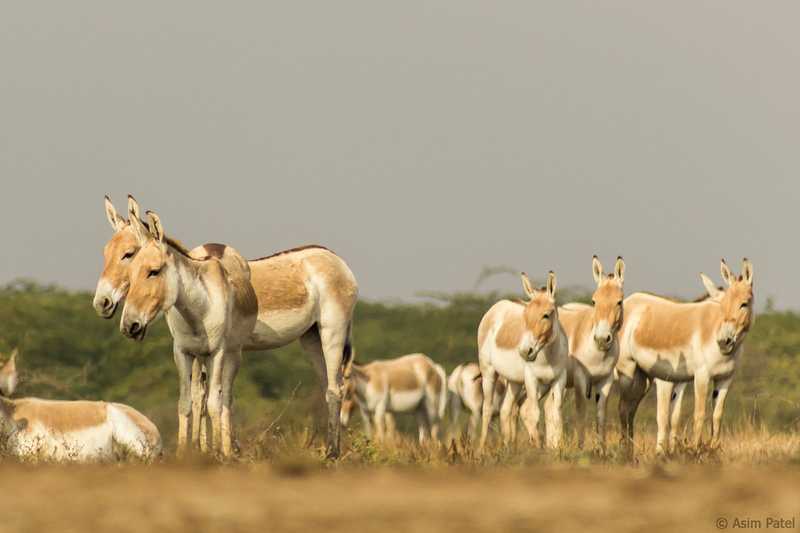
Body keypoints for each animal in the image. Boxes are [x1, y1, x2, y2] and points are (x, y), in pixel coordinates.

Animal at [94, 196, 356, 458]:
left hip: (332, 331)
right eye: (106, 253)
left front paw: (213, 450)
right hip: (311, 337)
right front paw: (195, 449)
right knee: (328, 384)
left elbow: (211, 400)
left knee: (335, 389)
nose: (101, 303)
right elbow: (194, 400)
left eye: (128, 254)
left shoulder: (217, 351)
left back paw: (333, 453)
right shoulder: (188, 351)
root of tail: (335, 258)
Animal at [476, 272, 568, 450]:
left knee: (505, 410)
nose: (525, 351)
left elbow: (557, 412)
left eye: (546, 315)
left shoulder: (559, 379)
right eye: (525, 316)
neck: (548, 357)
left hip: (515, 381)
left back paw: (508, 447)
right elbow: (534, 413)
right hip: (488, 372)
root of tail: (496, 307)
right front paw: (538, 446)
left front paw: (558, 448)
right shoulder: (531, 379)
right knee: (487, 409)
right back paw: (481, 450)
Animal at [556, 256, 624, 446]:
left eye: (619, 301)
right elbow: (581, 414)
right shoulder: (580, 379)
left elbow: (600, 417)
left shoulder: (606, 380)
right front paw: (581, 448)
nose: (601, 339)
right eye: (594, 301)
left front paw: (601, 449)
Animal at [616, 258, 752, 454]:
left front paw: (713, 449)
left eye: (744, 304)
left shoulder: (725, 378)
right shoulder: (700, 376)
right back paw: (625, 450)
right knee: (623, 408)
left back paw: (630, 449)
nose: (724, 342)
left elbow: (716, 415)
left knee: (630, 410)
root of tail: (629, 300)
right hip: (627, 369)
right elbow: (698, 414)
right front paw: (695, 451)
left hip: (643, 377)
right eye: (722, 307)